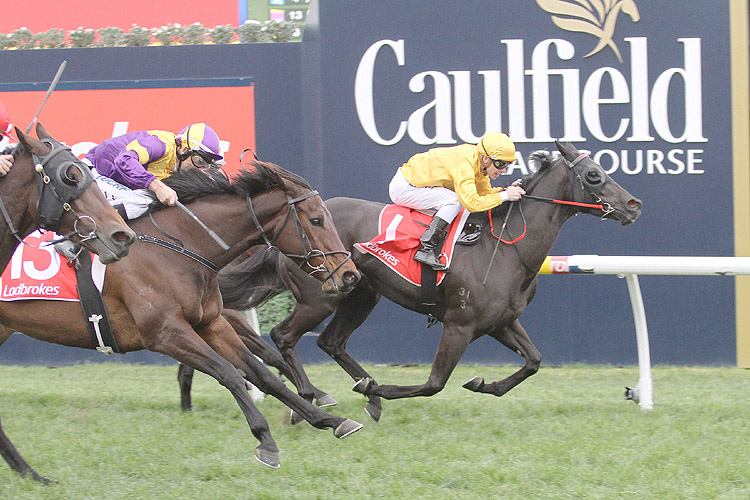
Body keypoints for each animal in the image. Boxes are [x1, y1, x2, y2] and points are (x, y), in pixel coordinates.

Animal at [0, 162, 364, 482]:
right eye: (316, 220)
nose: (350, 274)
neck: (178, 248)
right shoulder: (164, 333)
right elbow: (229, 373)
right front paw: (266, 441)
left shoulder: (212, 323)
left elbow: (263, 374)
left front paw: (329, 419)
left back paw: (29, 473)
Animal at [179, 141, 644, 422]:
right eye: (595, 176)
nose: (633, 205)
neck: (506, 245)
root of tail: (287, 226)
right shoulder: (460, 324)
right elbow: (434, 383)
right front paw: (383, 387)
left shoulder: (500, 322)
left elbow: (533, 361)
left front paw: (484, 384)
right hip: (321, 295)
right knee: (284, 336)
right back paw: (315, 395)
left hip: (360, 293)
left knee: (331, 342)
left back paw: (364, 392)